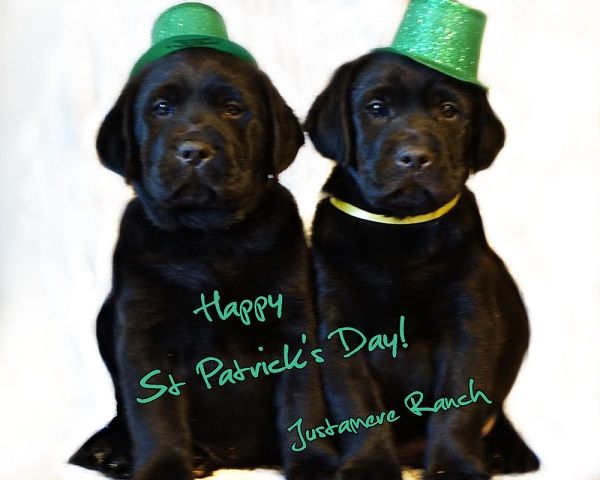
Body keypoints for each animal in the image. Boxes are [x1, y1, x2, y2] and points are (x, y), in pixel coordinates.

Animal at [69, 48, 338, 480]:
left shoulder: (295, 323)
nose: (194, 151)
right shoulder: (143, 333)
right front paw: (163, 468)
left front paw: (314, 464)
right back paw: (113, 451)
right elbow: (156, 416)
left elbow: (303, 401)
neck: (208, 237)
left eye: (233, 109)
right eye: (161, 108)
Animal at [304, 50, 540, 478]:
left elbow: (458, 405)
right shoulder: (338, 325)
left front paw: (453, 466)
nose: (415, 158)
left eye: (448, 110)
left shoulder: (468, 323)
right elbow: (356, 401)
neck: (400, 235)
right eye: (376, 108)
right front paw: (369, 464)